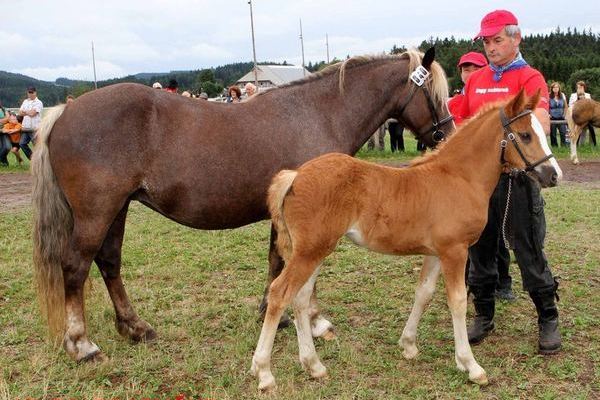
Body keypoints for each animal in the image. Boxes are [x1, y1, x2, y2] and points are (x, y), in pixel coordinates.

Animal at [31, 47, 450, 362]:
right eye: (436, 94)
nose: (446, 133)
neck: (320, 114)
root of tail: (65, 112)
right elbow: (304, 271)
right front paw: (315, 322)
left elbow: (277, 261)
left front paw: (274, 313)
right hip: (97, 213)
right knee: (75, 267)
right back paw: (82, 344)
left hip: (116, 210)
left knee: (109, 263)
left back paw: (135, 328)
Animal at [253, 90, 564, 390]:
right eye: (525, 135)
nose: (553, 175)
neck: (459, 177)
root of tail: (295, 175)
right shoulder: (455, 251)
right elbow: (458, 301)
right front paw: (470, 365)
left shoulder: (436, 253)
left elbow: (423, 293)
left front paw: (409, 345)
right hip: (310, 251)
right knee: (280, 293)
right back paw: (264, 372)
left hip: (315, 250)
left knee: (301, 297)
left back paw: (313, 365)